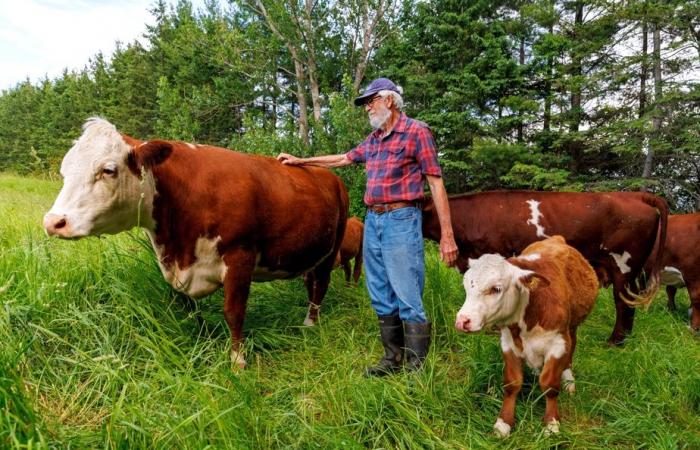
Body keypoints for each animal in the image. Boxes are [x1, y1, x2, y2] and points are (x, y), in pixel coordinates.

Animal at [43, 117, 350, 370]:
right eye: (64, 171)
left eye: (108, 169)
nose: (54, 222)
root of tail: (331, 176)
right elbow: (190, 311)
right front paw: (200, 342)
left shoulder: (240, 257)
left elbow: (234, 313)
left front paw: (237, 361)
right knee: (311, 281)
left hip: (332, 246)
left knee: (321, 283)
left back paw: (310, 322)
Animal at [456, 236, 600, 436]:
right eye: (466, 286)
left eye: (496, 288)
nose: (462, 320)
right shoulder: (508, 343)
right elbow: (512, 383)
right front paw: (504, 422)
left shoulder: (558, 343)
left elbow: (549, 384)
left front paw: (551, 422)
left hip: (572, 327)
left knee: (572, 347)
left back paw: (568, 378)